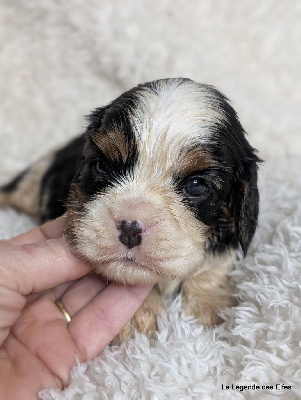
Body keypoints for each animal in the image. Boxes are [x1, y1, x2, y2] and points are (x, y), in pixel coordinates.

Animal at [0, 79, 258, 342]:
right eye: (102, 166)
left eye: (196, 185)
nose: (130, 229)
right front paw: (138, 320)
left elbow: (212, 267)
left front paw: (212, 308)